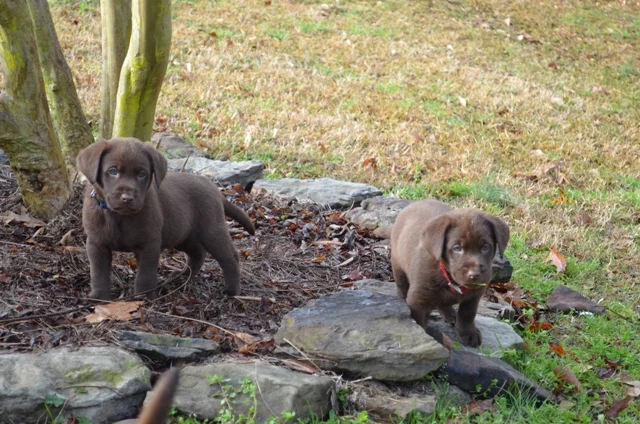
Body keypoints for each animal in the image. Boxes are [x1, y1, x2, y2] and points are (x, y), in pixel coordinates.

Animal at [390, 200, 510, 346]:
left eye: (485, 247)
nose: (474, 274)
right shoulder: (418, 300)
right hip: (397, 263)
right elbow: (419, 324)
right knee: (401, 285)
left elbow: (468, 313)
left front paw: (468, 332)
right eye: (457, 248)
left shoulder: (475, 294)